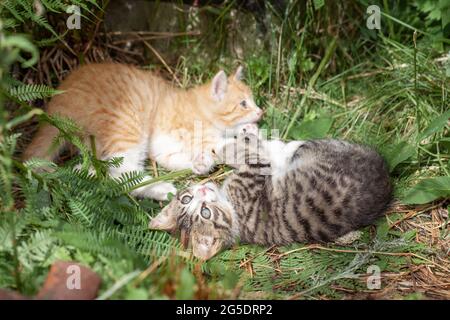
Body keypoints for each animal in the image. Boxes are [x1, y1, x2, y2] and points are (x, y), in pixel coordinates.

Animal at [23, 62, 264, 200]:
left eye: (252, 101)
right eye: (243, 103)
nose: (260, 112)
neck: (200, 110)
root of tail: (56, 106)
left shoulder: (162, 149)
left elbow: (184, 158)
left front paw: (202, 163)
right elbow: (221, 145)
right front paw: (247, 137)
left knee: (100, 172)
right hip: (127, 124)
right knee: (120, 174)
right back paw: (162, 189)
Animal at [149, 125, 392, 260]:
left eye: (186, 198)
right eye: (205, 213)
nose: (201, 189)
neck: (231, 208)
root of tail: (385, 176)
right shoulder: (251, 177)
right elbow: (251, 155)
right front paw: (223, 144)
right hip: (321, 151)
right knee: (299, 148)